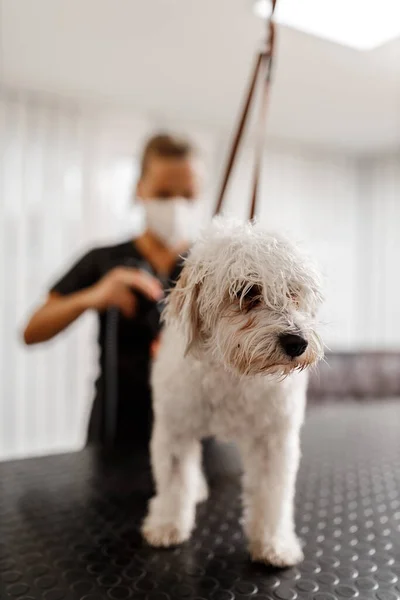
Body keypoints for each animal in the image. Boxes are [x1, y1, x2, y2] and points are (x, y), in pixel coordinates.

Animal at [142, 217, 324, 568]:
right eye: (246, 291)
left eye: (293, 292)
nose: (297, 343)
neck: (234, 376)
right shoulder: (176, 430)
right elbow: (174, 482)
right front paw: (168, 525)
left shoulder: (272, 440)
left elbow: (272, 495)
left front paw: (273, 544)